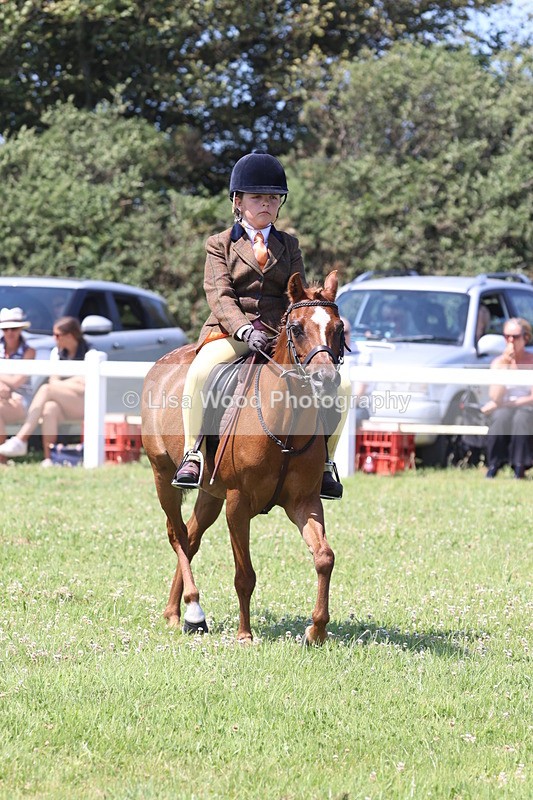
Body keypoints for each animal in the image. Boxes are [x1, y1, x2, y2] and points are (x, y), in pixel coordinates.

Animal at [141, 270, 344, 644]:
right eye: (296, 328)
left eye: (338, 328)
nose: (326, 380)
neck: (287, 420)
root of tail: (162, 364)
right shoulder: (237, 505)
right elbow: (244, 575)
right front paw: (245, 635)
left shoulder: (305, 501)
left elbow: (324, 557)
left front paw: (317, 630)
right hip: (163, 475)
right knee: (178, 535)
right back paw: (193, 609)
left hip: (210, 493)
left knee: (191, 538)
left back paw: (176, 613)